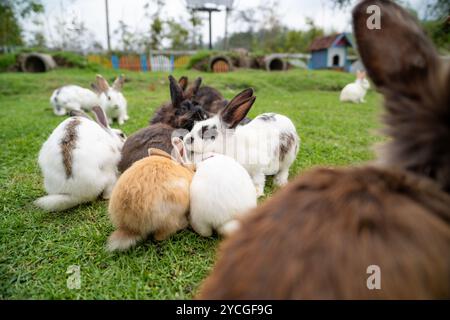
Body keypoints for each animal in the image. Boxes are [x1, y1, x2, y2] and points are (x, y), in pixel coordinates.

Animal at [199, 0, 450, 300]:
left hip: (287, 157)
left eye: (207, 132)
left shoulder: (257, 168)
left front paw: (259, 193)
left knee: (283, 171)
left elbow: (257, 181)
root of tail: (287, 120)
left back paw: (280, 183)